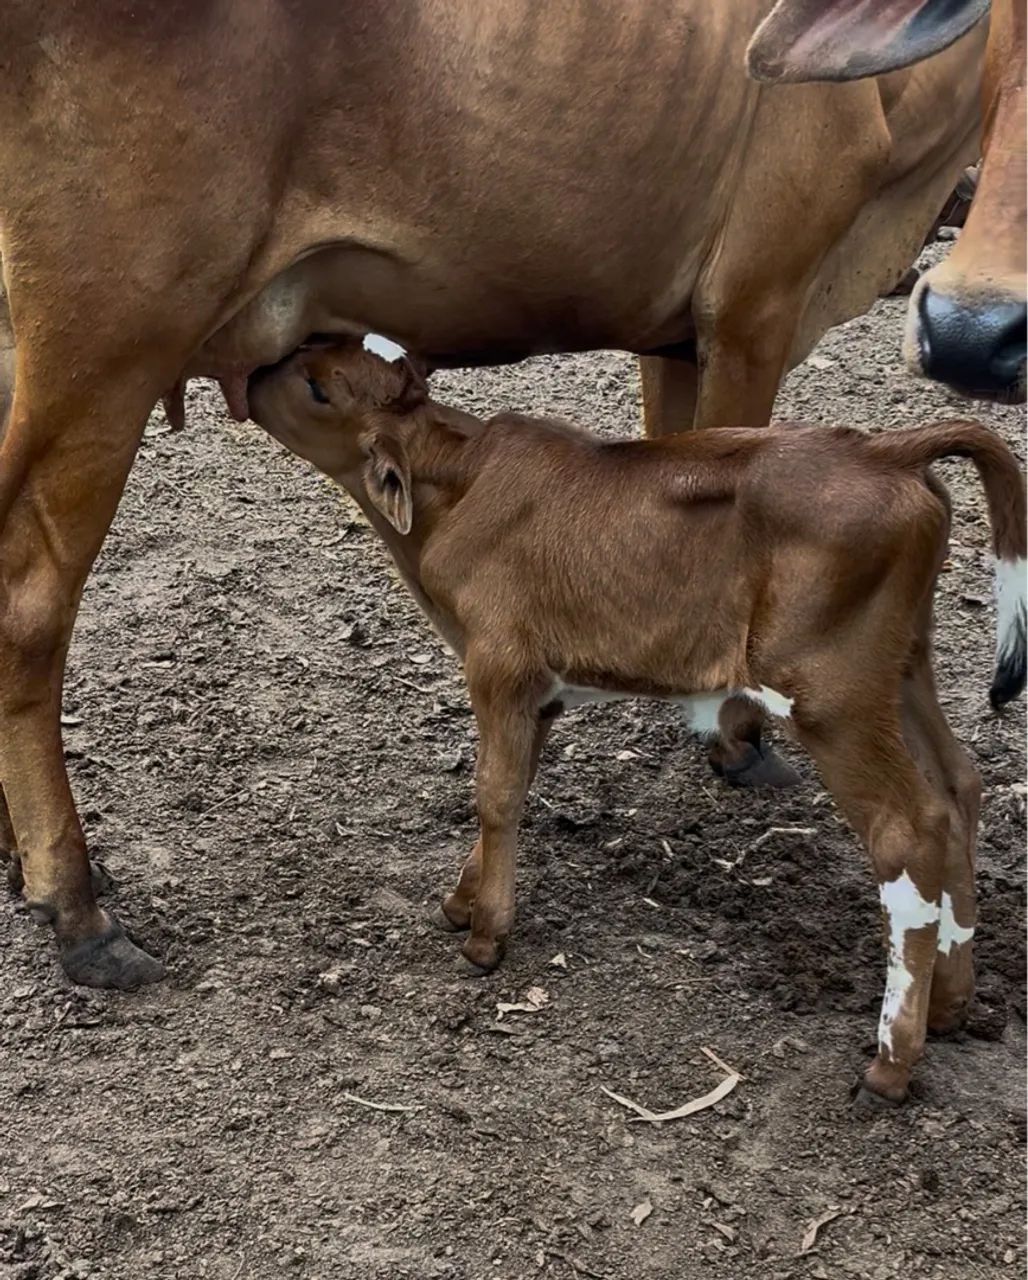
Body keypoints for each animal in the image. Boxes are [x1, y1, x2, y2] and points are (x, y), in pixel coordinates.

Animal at [0, 2, 988, 986]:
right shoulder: (753, 305)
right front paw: (736, 737)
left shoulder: (674, 339)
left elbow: (672, 456)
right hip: (108, 336)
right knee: (31, 604)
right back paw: (75, 901)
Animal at [246, 340, 1027, 1104]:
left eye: (317, 386)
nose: (254, 374)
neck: (457, 484)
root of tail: (885, 448)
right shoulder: (538, 690)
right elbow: (515, 783)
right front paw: (463, 900)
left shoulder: (499, 664)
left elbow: (494, 794)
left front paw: (486, 936)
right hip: (903, 664)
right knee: (957, 786)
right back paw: (951, 1004)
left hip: (830, 689)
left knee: (908, 828)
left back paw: (892, 1062)